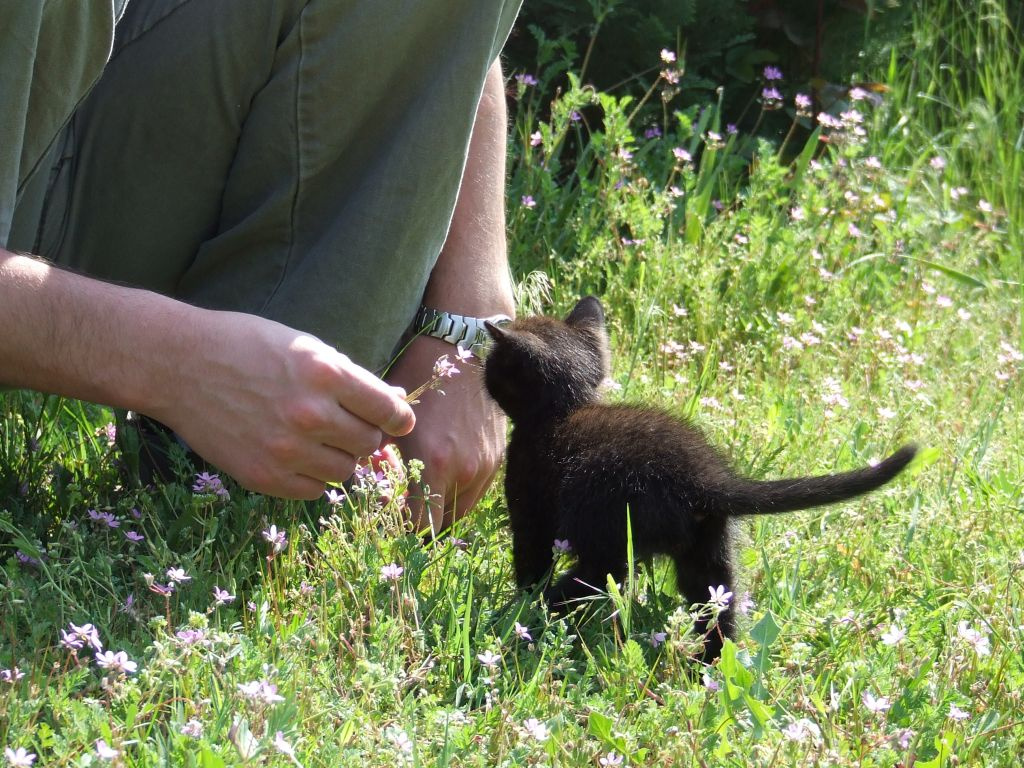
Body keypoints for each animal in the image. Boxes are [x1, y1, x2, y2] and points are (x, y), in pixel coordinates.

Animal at [483, 296, 917, 659]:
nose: (481, 372)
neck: (562, 412)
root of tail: (702, 478)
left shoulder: (529, 507)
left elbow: (531, 561)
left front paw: (524, 599)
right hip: (707, 556)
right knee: (718, 613)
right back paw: (709, 666)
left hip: (607, 542)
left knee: (583, 585)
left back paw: (524, 614)